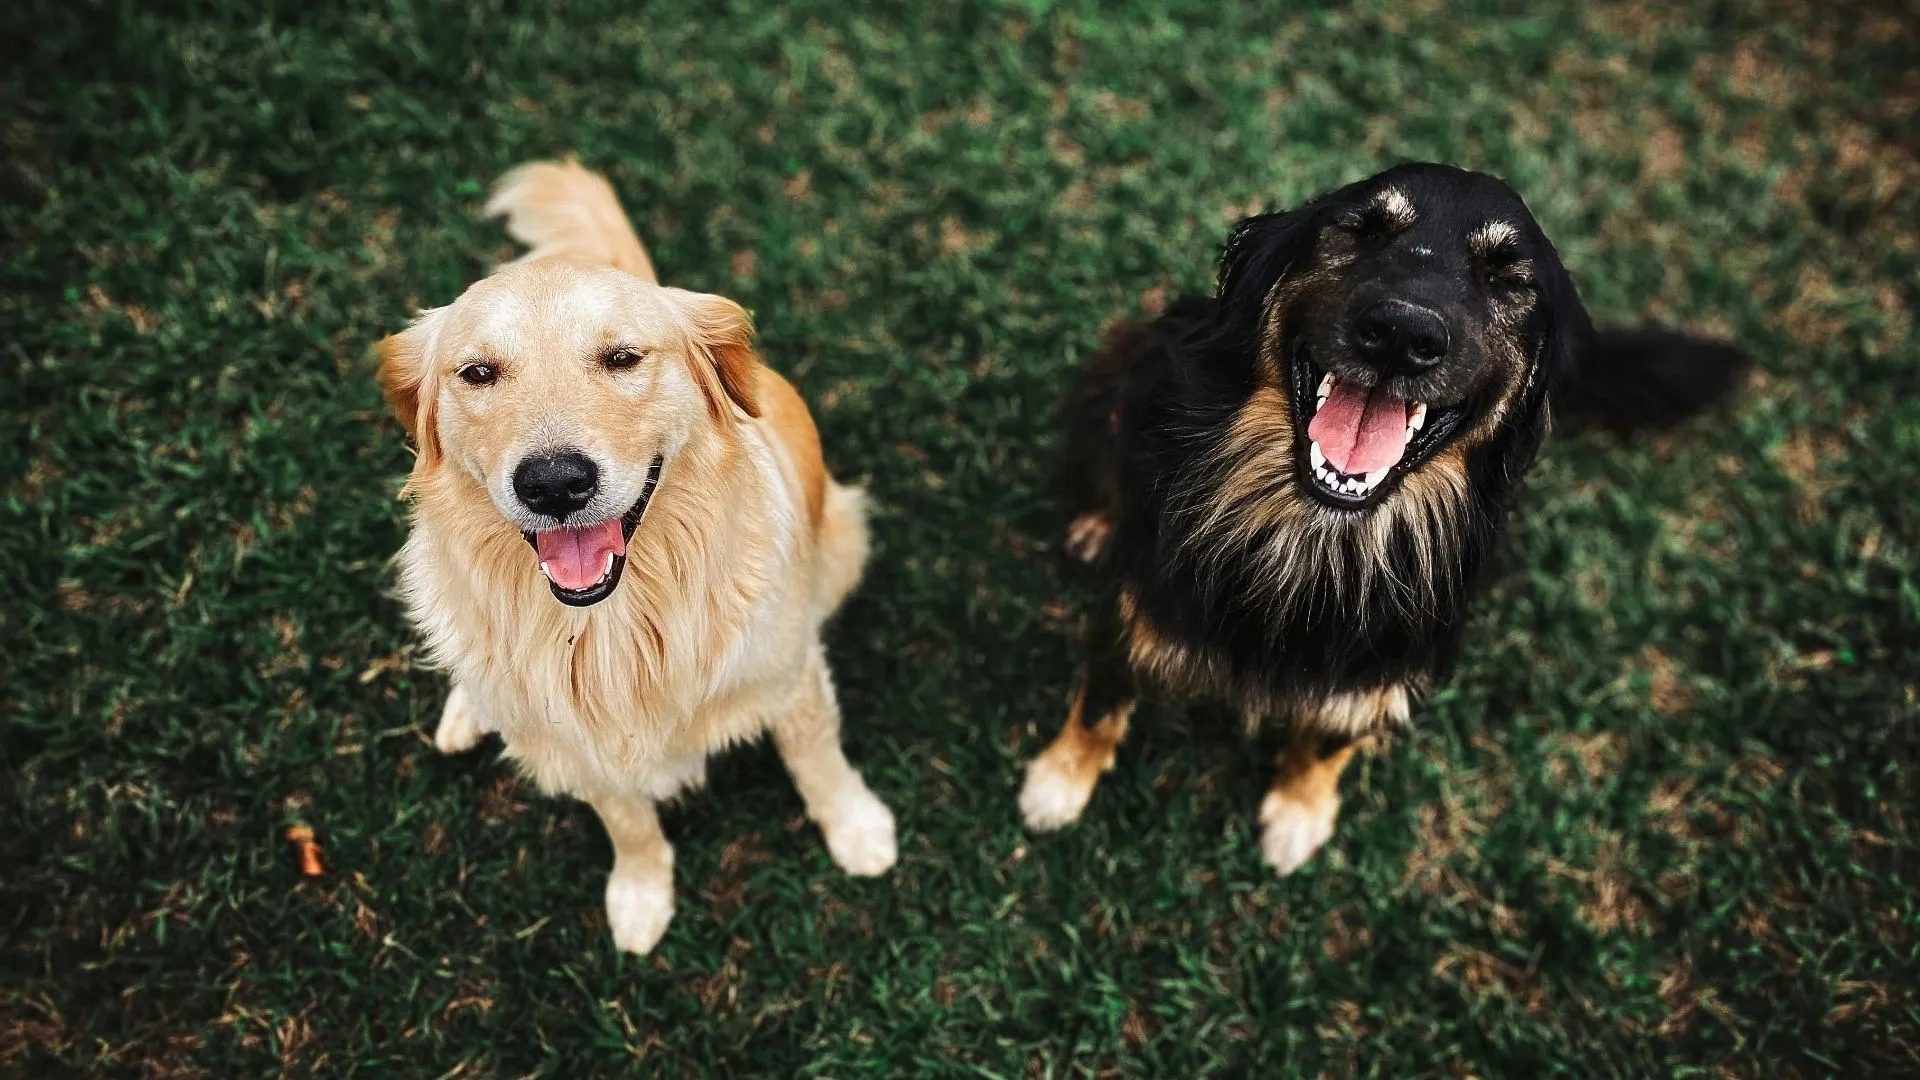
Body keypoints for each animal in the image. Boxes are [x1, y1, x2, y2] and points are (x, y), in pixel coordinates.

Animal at [378, 159, 894, 949]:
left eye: (621, 358)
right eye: (478, 373)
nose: (554, 483)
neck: (611, 626)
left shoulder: (791, 674)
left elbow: (817, 760)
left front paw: (857, 829)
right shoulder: (584, 750)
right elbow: (628, 823)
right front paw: (641, 895)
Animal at [1029, 161, 1751, 864]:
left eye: (1505, 277)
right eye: (1363, 231)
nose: (1403, 335)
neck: (1319, 533)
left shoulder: (1384, 665)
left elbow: (1330, 738)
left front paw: (1299, 813)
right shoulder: (1136, 603)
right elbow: (1101, 699)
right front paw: (1059, 783)